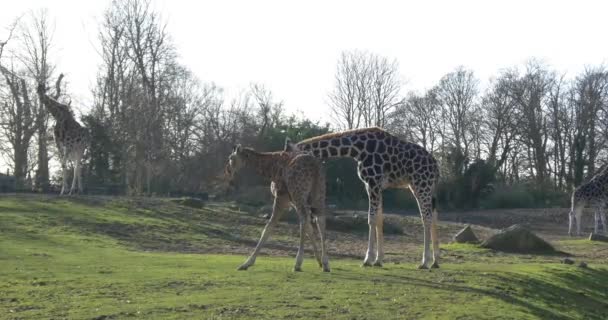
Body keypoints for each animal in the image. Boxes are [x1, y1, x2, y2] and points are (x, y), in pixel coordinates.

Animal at [288, 126, 440, 268]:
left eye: (288, 155)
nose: (290, 174)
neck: (357, 150)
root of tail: (436, 166)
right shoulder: (373, 186)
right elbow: (379, 220)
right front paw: (378, 260)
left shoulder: (373, 182)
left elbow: (371, 219)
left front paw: (368, 259)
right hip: (420, 187)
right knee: (433, 215)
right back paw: (435, 261)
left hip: (422, 184)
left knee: (426, 217)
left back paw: (424, 262)